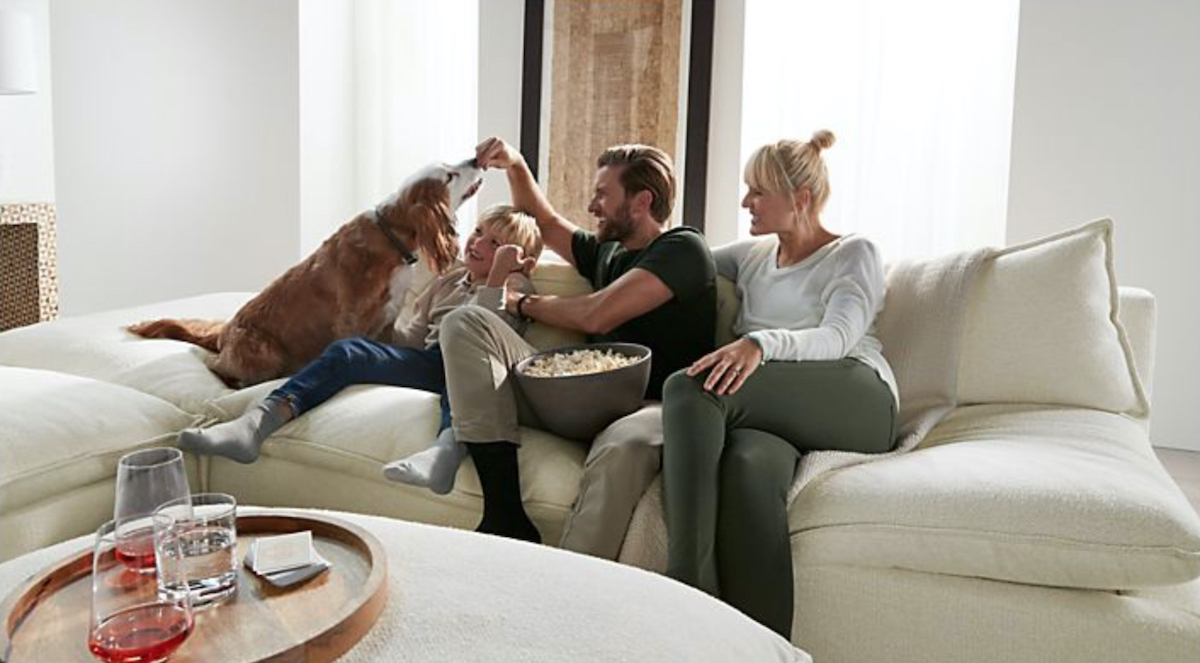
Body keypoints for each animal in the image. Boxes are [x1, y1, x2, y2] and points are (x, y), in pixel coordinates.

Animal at [129, 158, 484, 389]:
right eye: (450, 175)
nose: (476, 157)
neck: (391, 237)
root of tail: (222, 334)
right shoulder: (350, 320)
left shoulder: (387, 321)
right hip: (263, 352)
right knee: (215, 367)